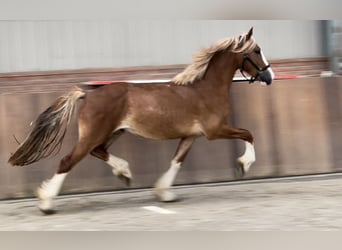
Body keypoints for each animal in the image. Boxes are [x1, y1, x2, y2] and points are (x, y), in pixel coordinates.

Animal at [8, 27, 276, 215]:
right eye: (256, 50)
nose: (269, 76)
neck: (205, 89)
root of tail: (88, 94)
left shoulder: (190, 136)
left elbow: (177, 161)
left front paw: (164, 194)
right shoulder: (215, 131)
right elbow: (248, 133)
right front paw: (243, 165)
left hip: (113, 132)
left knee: (98, 151)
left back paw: (124, 172)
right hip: (94, 134)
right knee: (68, 161)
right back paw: (46, 204)